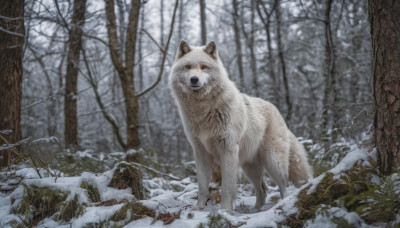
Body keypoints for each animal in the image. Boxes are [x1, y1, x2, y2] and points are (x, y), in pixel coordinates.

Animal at [169, 40, 312, 209]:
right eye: (188, 67)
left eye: (204, 67)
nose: (194, 79)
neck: (203, 110)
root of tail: (276, 110)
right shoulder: (200, 153)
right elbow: (202, 187)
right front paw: (199, 208)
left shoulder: (228, 150)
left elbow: (227, 187)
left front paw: (225, 210)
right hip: (250, 168)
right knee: (262, 189)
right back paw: (257, 210)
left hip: (273, 162)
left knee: (284, 186)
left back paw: (282, 206)